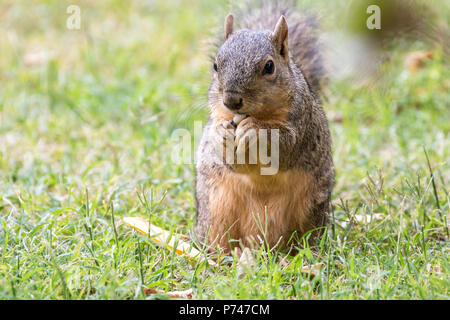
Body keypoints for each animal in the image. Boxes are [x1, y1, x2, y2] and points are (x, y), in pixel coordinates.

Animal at [194, 1, 334, 252]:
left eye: (269, 66)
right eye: (215, 65)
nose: (231, 100)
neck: (256, 114)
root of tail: (257, 241)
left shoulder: (302, 126)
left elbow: (284, 146)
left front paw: (255, 130)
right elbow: (232, 162)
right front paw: (220, 133)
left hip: (309, 208)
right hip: (215, 208)